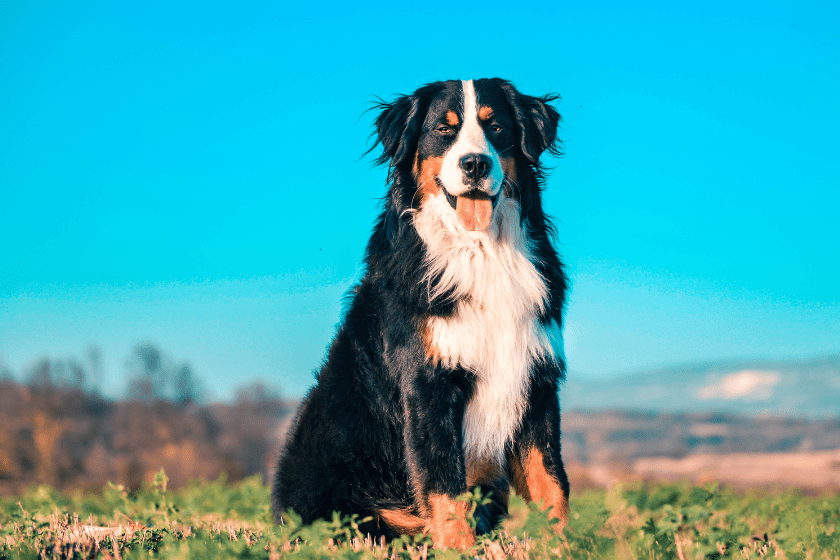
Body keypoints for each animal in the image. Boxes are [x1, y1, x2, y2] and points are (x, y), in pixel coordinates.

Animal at [274, 76, 572, 548]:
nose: (474, 164)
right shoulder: (427, 384)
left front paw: (561, 547)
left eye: (497, 127)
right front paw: (459, 550)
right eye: (443, 130)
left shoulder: (536, 380)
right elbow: (444, 485)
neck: (482, 253)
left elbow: (551, 483)